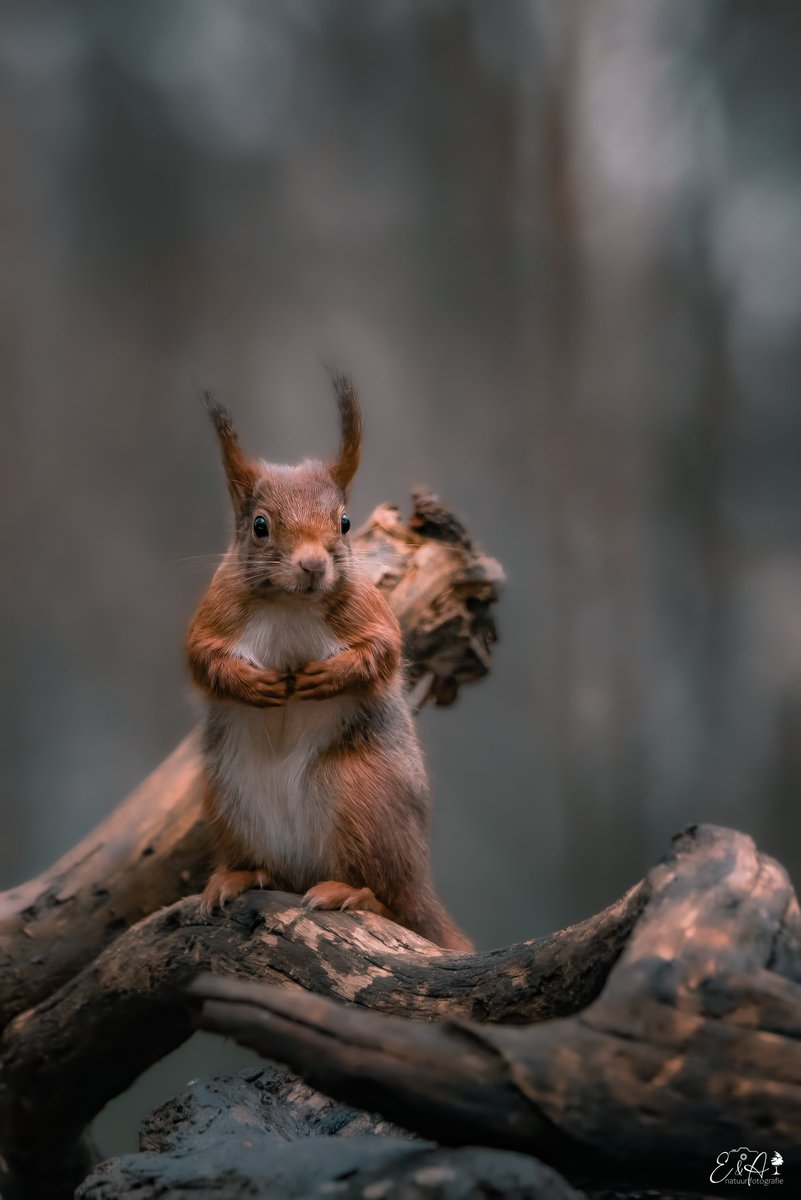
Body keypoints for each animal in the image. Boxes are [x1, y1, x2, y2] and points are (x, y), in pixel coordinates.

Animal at [187, 376, 472, 952]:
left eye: (344, 522)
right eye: (259, 526)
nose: (313, 566)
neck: (290, 603)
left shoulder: (371, 611)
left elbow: (384, 652)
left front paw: (326, 677)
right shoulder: (214, 614)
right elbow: (202, 659)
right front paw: (254, 684)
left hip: (361, 794)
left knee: (395, 902)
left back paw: (353, 894)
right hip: (227, 799)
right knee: (272, 869)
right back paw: (240, 876)